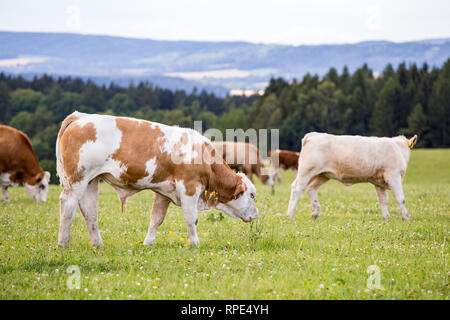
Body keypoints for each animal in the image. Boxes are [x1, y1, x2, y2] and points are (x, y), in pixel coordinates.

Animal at [56, 112, 258, 248]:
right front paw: (195, 243)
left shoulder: (164, 192)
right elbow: (191, 218)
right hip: (78, 179)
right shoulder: (189, 188)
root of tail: (81, 117)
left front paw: (148, 243)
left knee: (89, 211)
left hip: (91, 181)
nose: (256, 215)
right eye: (252, 195)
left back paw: (97, 244)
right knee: (68, 206)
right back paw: (63, 243)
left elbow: (156, 218)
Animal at [288, 132, 418, 220]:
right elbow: (401, 198)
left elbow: (383, 200)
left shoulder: (379, 181)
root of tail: (313, 135)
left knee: (311, 188)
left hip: (323, 174)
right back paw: (290, 214)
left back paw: (315, 213)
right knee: (297, 187)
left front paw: (386, 218)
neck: (398, 148)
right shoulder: (393, 175)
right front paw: (406, 218)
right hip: (307, 170)